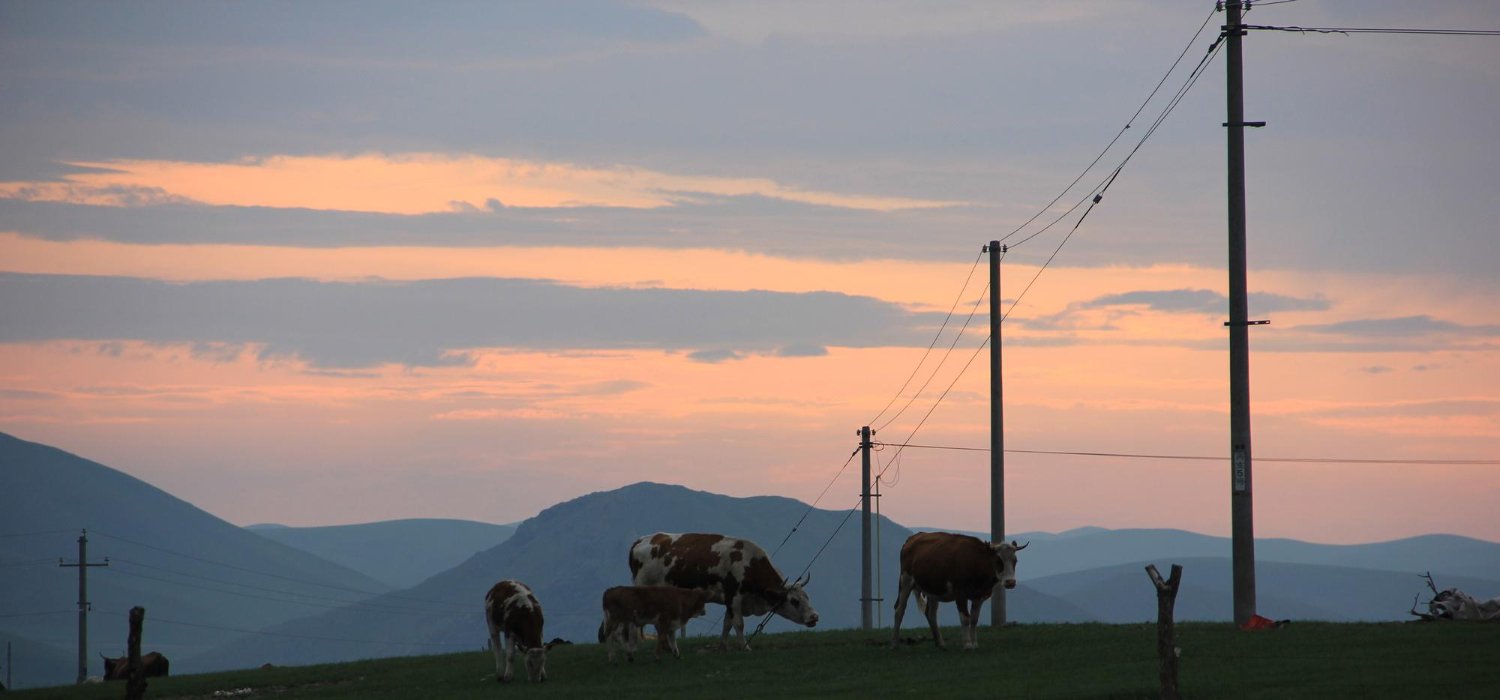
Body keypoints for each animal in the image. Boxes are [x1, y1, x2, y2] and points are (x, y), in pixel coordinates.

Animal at [630, 530, 822, 653]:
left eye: (807, 597)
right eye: (795, 601)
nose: (814, 617)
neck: (748, 562)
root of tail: (641, 540)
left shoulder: (731, 601)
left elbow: (727, 624)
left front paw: (723, 646)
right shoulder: (734, 596)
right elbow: (738, 623)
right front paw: (744, 647)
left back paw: (667, 647)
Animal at [888, 530, 1032, 653]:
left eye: (1015, 560)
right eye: (998, 560)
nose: (1010, 582)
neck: (976, 562)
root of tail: (913, 538)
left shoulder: (979, 596)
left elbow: (974, 619)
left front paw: (974, 644)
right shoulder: (960, 594)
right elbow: (965, 618)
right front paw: (967, 644)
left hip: (933, 590)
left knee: (931, 613)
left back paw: (940, 643)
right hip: (905, 580)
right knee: (899, 609)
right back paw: (894, 643)